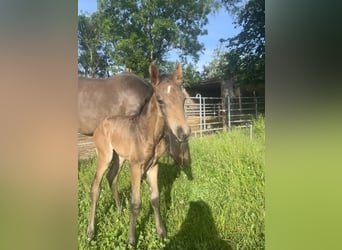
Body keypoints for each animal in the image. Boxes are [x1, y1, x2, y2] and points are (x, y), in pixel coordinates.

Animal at [87, 61, 191, 245]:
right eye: (160, 100)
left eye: (183, 99)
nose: (184, 133)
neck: (149, 133)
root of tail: (101, 124)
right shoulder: (136, 166)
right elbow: (136, 203)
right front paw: (131, 239)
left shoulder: (153, 166)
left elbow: (155, 198)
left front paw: (162, 233)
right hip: (105, 156)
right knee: (95, 187)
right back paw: (90, 231)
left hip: (119, 157)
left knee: (112, 177)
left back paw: (119, 210)